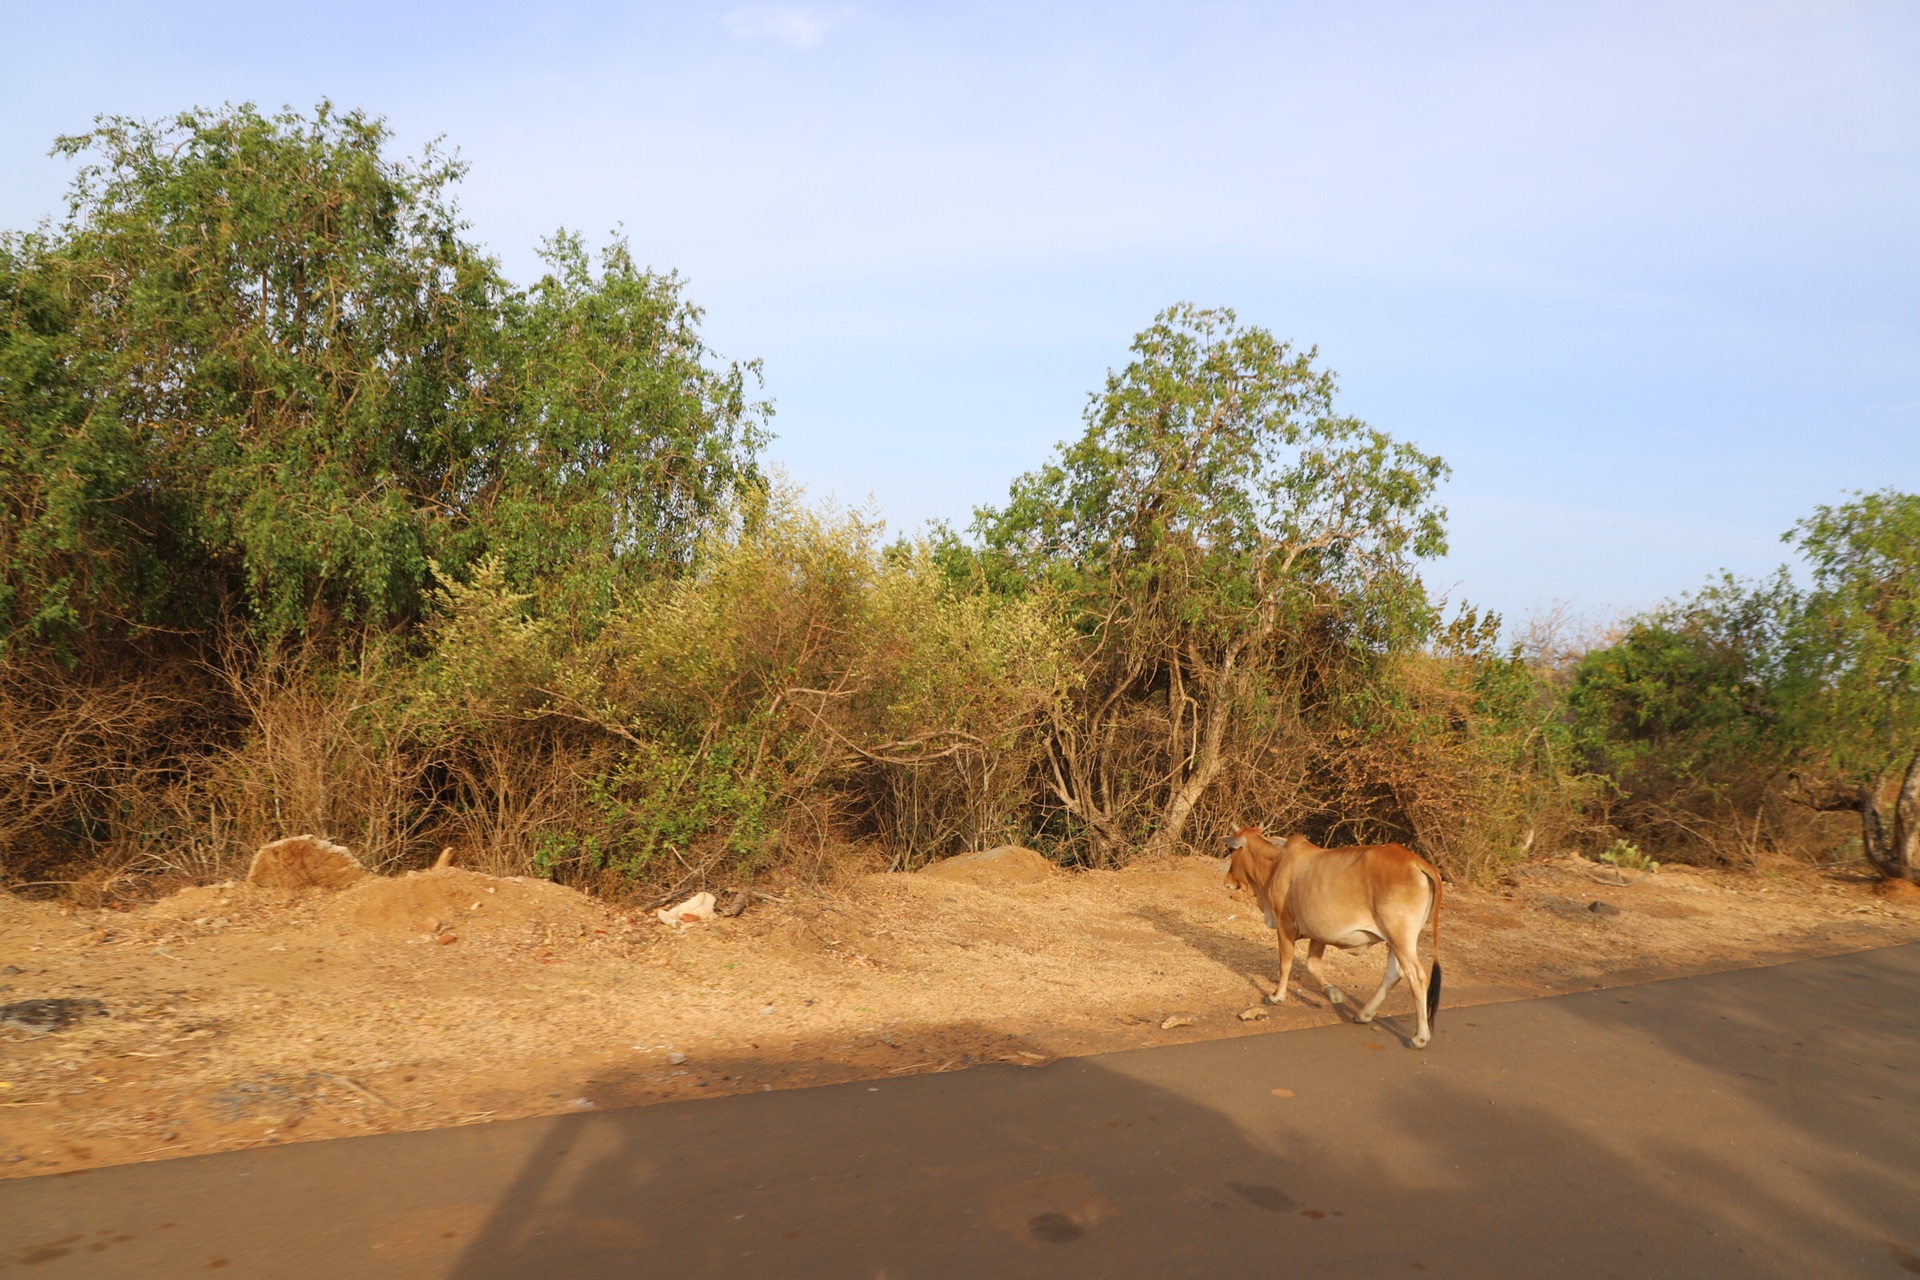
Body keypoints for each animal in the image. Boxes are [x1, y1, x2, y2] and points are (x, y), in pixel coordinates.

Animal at [1228, 832, 1443, 1051]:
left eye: (1231, 851)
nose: (1228, 881)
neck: (1276, 862)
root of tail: (1416, 862)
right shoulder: (1318, 934)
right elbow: (1312, 964)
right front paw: (1332, 993)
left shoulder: (1285, 925)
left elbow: (1285, 964)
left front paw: (1276, 996)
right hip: (1395, 941)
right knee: (1393, 974)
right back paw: (1364, 1014)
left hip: (1400, 937)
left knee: (1416, 976)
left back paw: (1419, 1037)